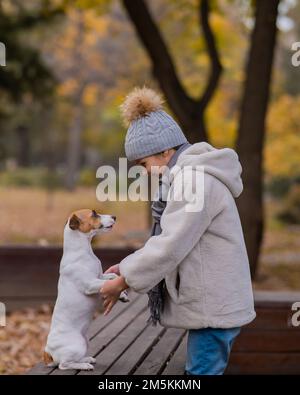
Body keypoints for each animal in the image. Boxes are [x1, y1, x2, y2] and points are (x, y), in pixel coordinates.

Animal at [44, 210, 128, 372]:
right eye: (94, 214)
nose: (114, 217)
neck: (84, 252)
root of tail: (48, 352)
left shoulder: (100, 275)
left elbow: (112, 277)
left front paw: (122, 295)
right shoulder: (90, 284)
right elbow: (106, 283)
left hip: (85, 341)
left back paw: (86, 359)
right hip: (77, 345)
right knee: (64, 364)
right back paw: (84, 365)